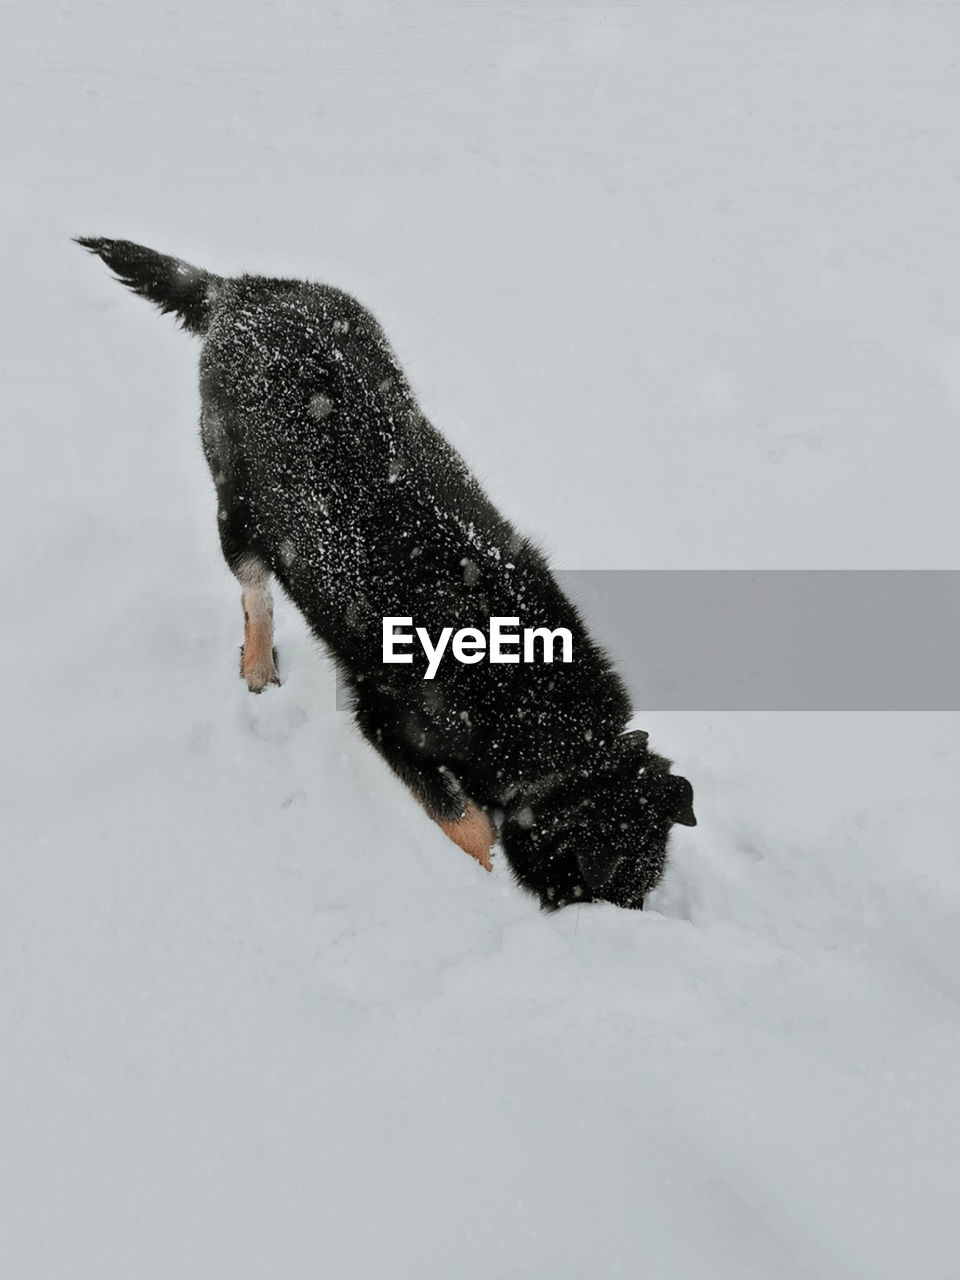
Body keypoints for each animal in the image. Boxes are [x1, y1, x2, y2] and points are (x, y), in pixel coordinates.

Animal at [73, 238, 691, 911]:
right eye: (612, 896)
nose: (630, 926)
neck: (523, 692)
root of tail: (243, 290)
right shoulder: (389, 724)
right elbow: (469, 825)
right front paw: (484, 883)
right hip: (238, 511)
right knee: (254, 592)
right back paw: (258, 666)